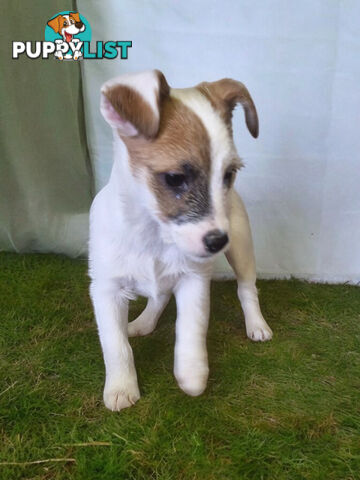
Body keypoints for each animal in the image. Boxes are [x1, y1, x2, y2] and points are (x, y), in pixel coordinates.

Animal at [88, 69, 272, 410]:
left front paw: (192, 372)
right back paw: (144, 322)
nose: (217, 242)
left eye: (228, 175)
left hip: (242, 248)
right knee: (158, 297)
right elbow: (115, 345)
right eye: (174, 178)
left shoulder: (194, 280)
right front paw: (121, 386)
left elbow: (191, 329)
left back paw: (256, 325)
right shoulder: (105, 289)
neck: (153, 235)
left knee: (246, 289)